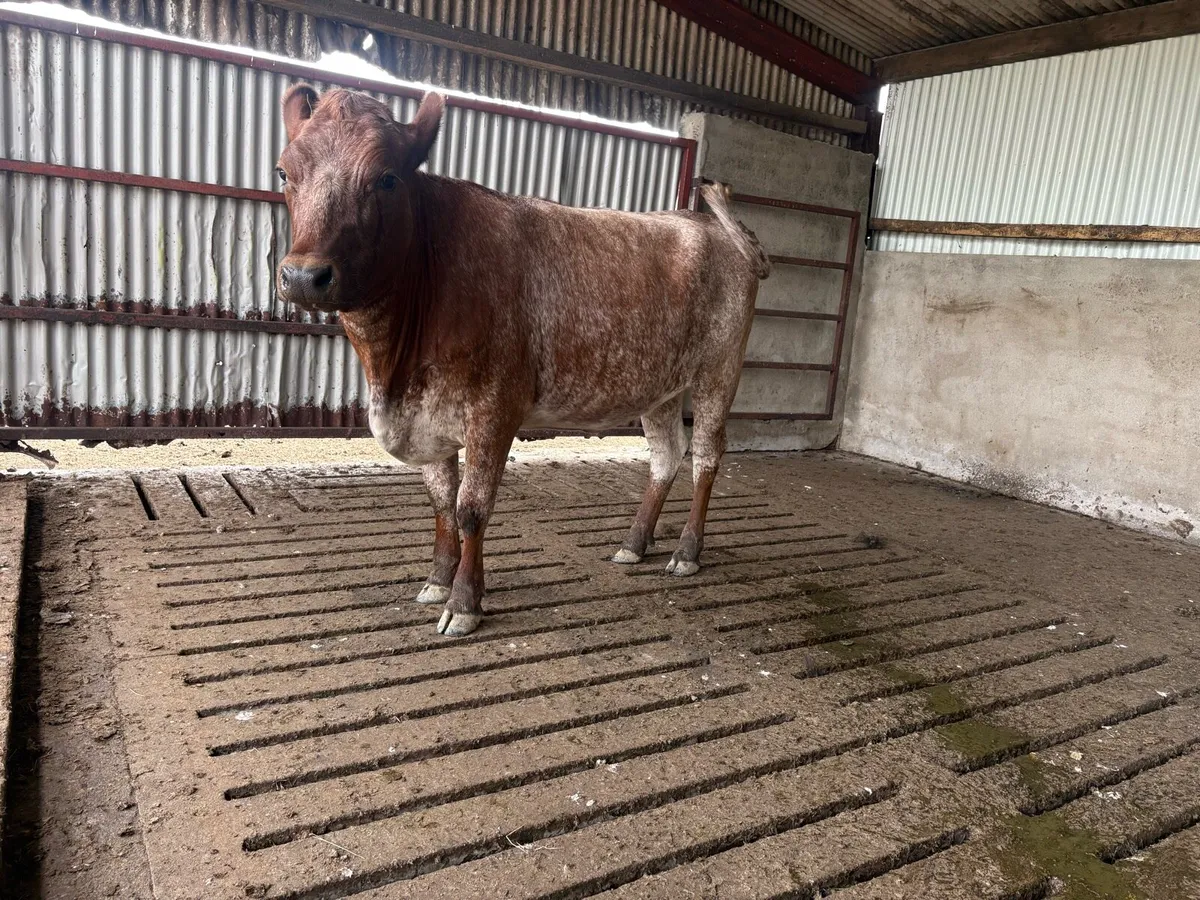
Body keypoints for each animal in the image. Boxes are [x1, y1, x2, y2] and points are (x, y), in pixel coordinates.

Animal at [275, 85, 770, 637]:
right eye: (284, 172)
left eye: (386, 178)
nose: (303, 276)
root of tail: (714, 226)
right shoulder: (430, 415)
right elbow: (441, 501)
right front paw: (436, 582)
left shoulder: (495, 408)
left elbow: (471, 508)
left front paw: (463, 604)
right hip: (659, 384)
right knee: (666, 455)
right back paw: (633, 544)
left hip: (720, 370)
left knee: (706, 455)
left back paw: (686, 552)